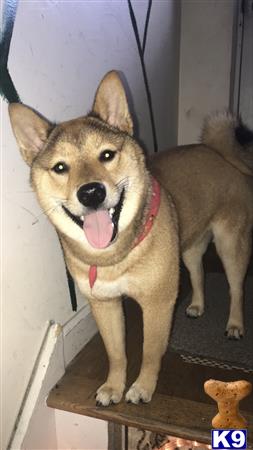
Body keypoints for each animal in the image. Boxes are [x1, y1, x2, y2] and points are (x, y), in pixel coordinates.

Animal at [8, 72, 180, 406]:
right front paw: (114, 386)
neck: (113, 257)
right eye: (60, 167)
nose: (90, 192)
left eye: (107, 155)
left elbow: (151, 352)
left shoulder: (158, 302)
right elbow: (116, 353)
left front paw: (143, 386)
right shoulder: (104, 304)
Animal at [152, 112, 253, 338]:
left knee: (237, 289)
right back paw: (197, 305)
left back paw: (235, 323)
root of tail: (221, 155)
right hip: (192, 249)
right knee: (198, 276)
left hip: (230, 249)